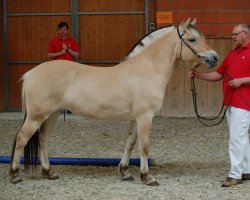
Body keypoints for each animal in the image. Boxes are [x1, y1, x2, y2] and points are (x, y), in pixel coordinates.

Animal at [9, 19, 219, 186]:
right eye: (192, 40)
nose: (215, 58)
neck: (147, 70)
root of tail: (30, 74)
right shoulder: (145, 117)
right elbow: (144, 146)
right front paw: (147, 177)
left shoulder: (136, 119)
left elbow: (130, 143)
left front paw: (125, 172)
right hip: (36, 116)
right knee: (21, 138)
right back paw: (14, 175)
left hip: (51, 115)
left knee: (43, 139)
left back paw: (49, 173)